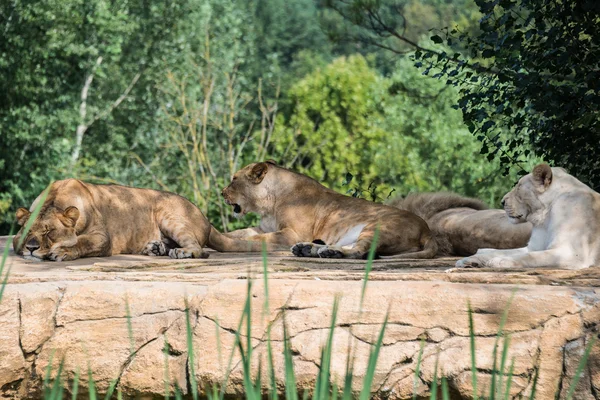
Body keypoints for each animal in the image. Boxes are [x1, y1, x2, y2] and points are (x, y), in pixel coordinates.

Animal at [12, 179, 274, 260]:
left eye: (49, 232)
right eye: (28, 232)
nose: (32, 248)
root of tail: (206, 218)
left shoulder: (102, 237)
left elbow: (82, 243)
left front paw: (62, 252)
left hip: (169, 215)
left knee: (201, 250)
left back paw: (181, 252)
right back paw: (156, 248)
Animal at [220, 160, 436, 260]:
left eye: (234, 179)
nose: (222, 193)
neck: (268, 204)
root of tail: (427, 230)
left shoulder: (292, 233)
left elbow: (259, 238)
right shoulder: (265, 227)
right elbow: (240, 232)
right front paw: (225, 234)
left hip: (378, 226)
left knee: (361, 251)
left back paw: (328, 253)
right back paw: (309, 249)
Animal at [454, 164, 600, 270]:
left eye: (518, 187)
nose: (502, 201)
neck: (545, 216)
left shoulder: (572, 253)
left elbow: (529, 257)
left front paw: (500, 261)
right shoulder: (534, 247)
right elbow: (508, 251)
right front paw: (468, 260)